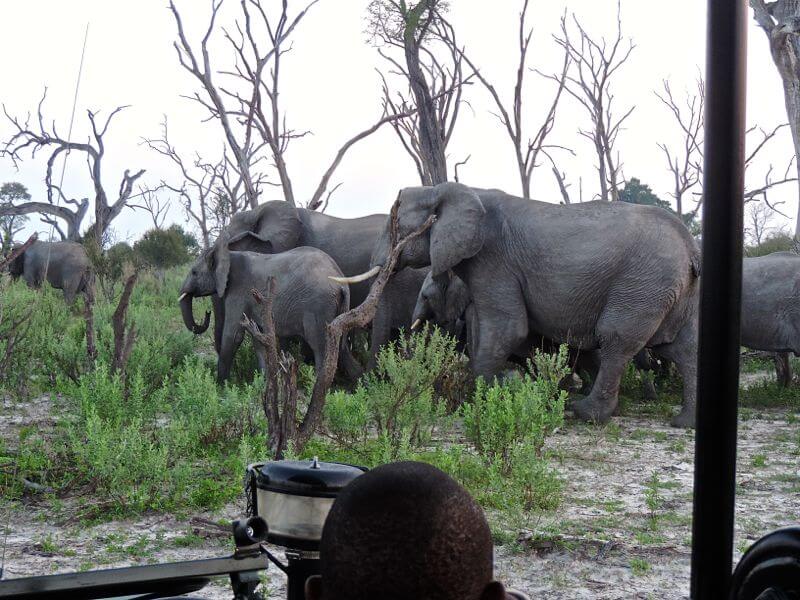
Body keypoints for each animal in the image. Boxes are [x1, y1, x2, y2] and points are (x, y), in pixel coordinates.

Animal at [179, 244, 362, 383]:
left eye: (194, 272)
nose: (207, 312)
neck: (228, 254)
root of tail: (341, 282)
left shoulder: (239, 292)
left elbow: (233, 336)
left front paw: (221, 387)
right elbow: (259, 338)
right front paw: (263, 382)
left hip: (319, 306)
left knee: (320, 347)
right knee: (342, 347)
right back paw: (359, 385)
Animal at [354, 182, 700, 427]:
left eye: (394, 223)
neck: (450, 189)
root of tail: (690, 245)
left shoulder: (494, 261)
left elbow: (508, 330)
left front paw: (482, 401)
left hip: (642, 284)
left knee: (616, 339)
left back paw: (583, 412)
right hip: (672, 289)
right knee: (683, 348)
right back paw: (683, 423)